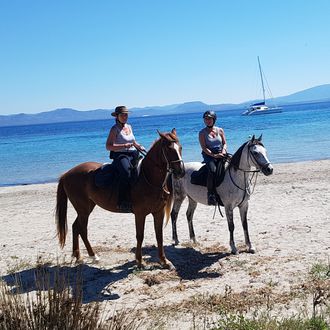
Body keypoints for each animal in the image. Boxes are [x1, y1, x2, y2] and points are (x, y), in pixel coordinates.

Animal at [56, 127, 186, 270]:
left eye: (180, 147)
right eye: (169, 149)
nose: (181, 172)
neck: (147, 178)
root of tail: (66, 174)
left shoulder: (158, 212)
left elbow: (159, 235)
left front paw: (164, 261)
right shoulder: (140, 214)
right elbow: (140, 236)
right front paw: (140, 261)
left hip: (87, 207)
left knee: (75, 227)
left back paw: (78, 256)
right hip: (83, 210)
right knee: (82, 229)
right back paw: (93, 256)